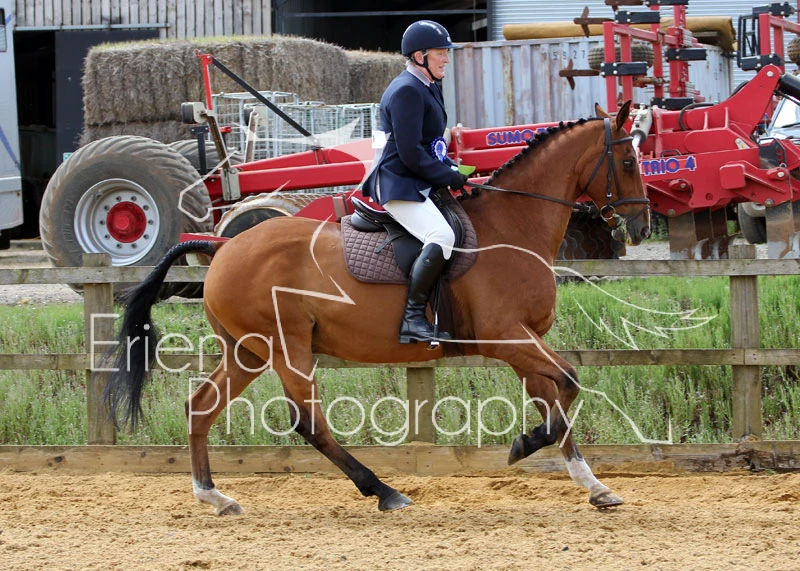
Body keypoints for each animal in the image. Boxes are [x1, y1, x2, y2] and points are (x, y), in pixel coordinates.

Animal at [104, 102, 650, 515]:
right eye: (628, 162)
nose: (642, 227)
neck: (512, 227)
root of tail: (222, 246)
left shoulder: (524, 342)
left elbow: (555, 400)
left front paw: (593, 485)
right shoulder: (506, 336)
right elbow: (569, 384)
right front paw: (521, 447)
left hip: (247, 351)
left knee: (201, 406)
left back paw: (214, 496)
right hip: (286, 347)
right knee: (308, 423)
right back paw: (384, 491)